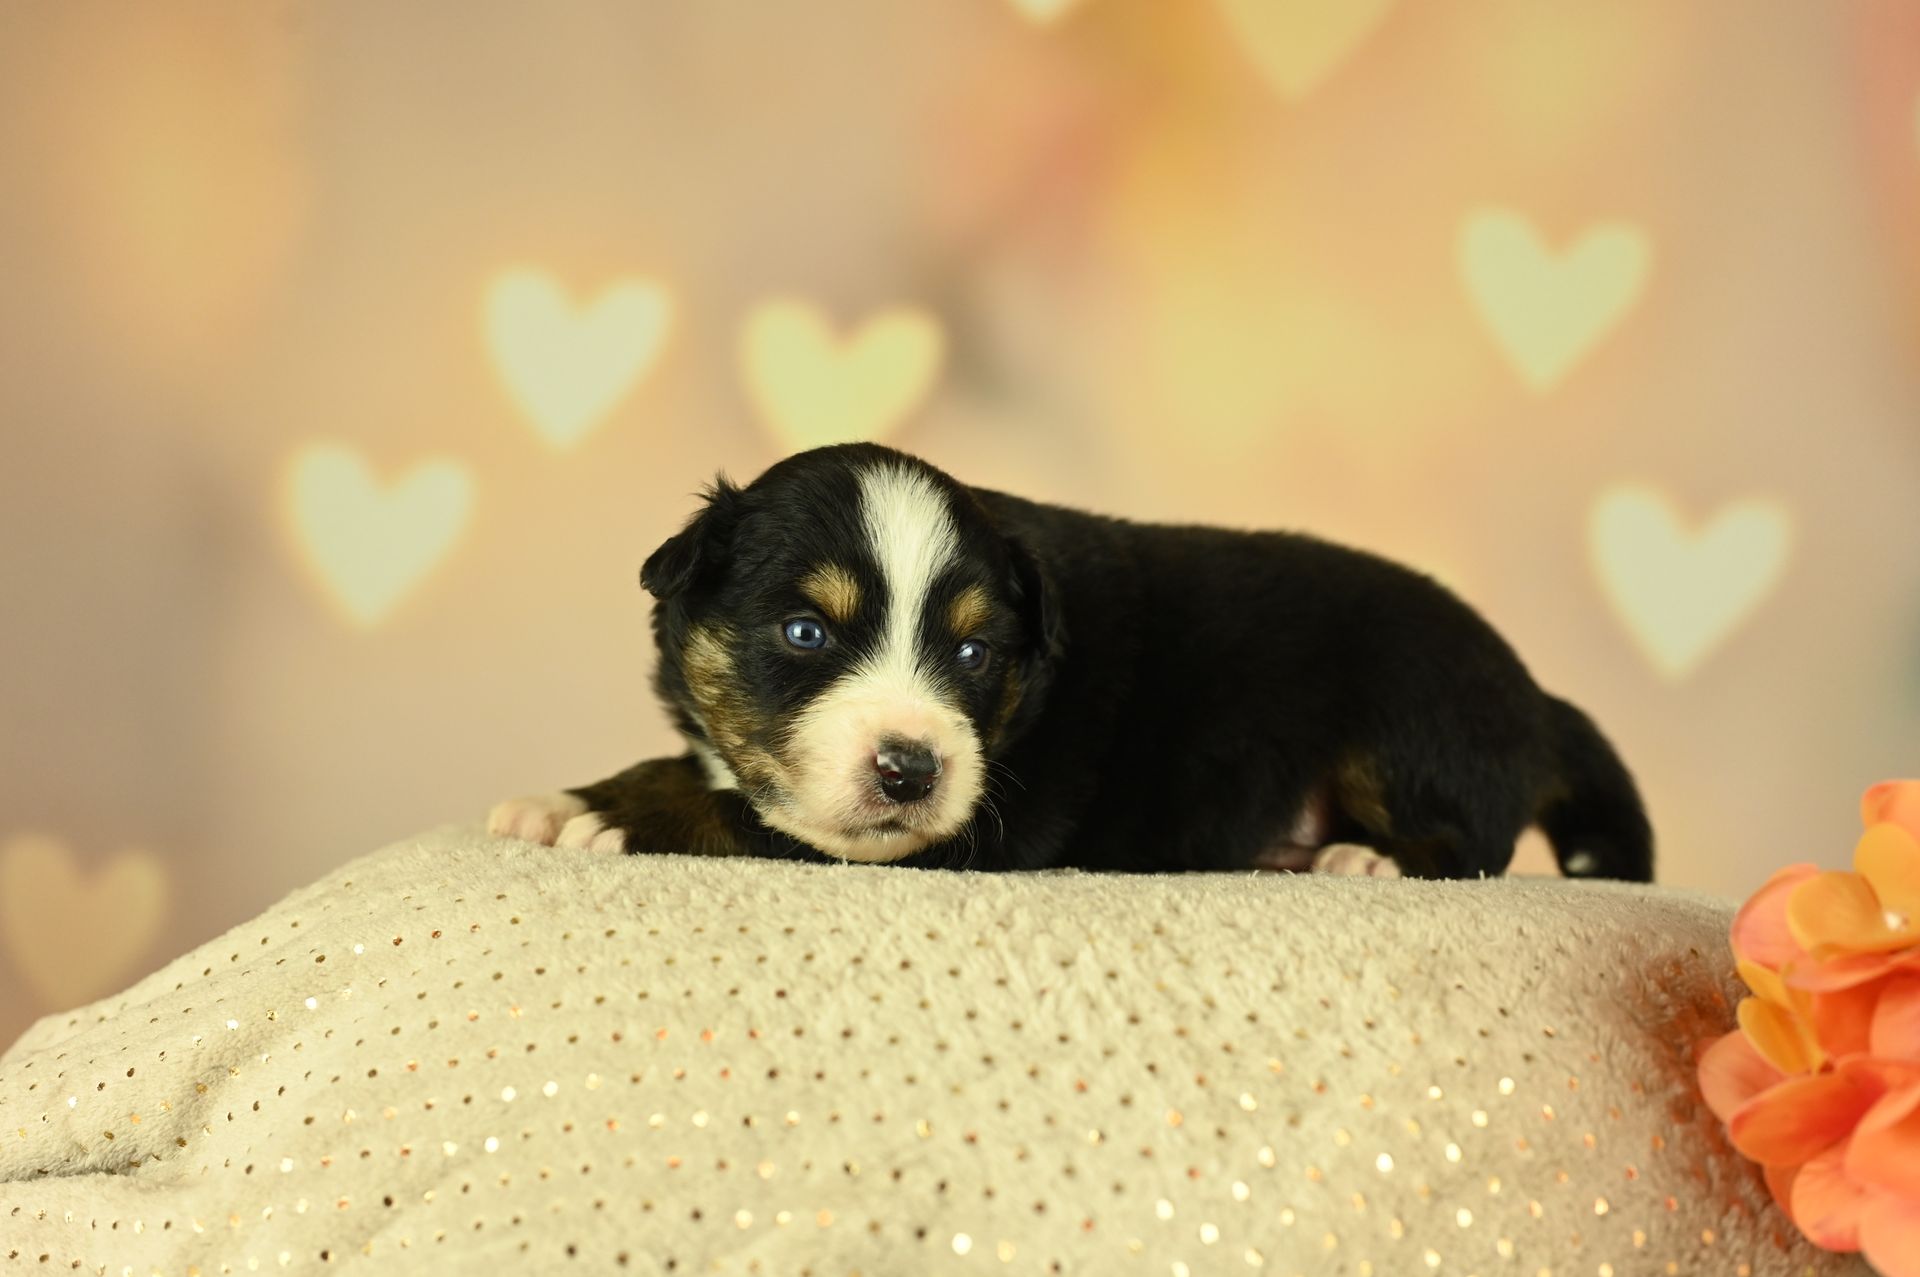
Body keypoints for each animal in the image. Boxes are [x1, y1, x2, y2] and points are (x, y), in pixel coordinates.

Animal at [489, 443, 1653, 882]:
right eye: (806, 633)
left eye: (973, 649)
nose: (910, 771)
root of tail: (1536, 695)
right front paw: (561, 800)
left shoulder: (969, 834)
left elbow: (732, 808)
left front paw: (606, 812)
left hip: (1414, 716)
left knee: (1467, 840)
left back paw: (1362, 858)